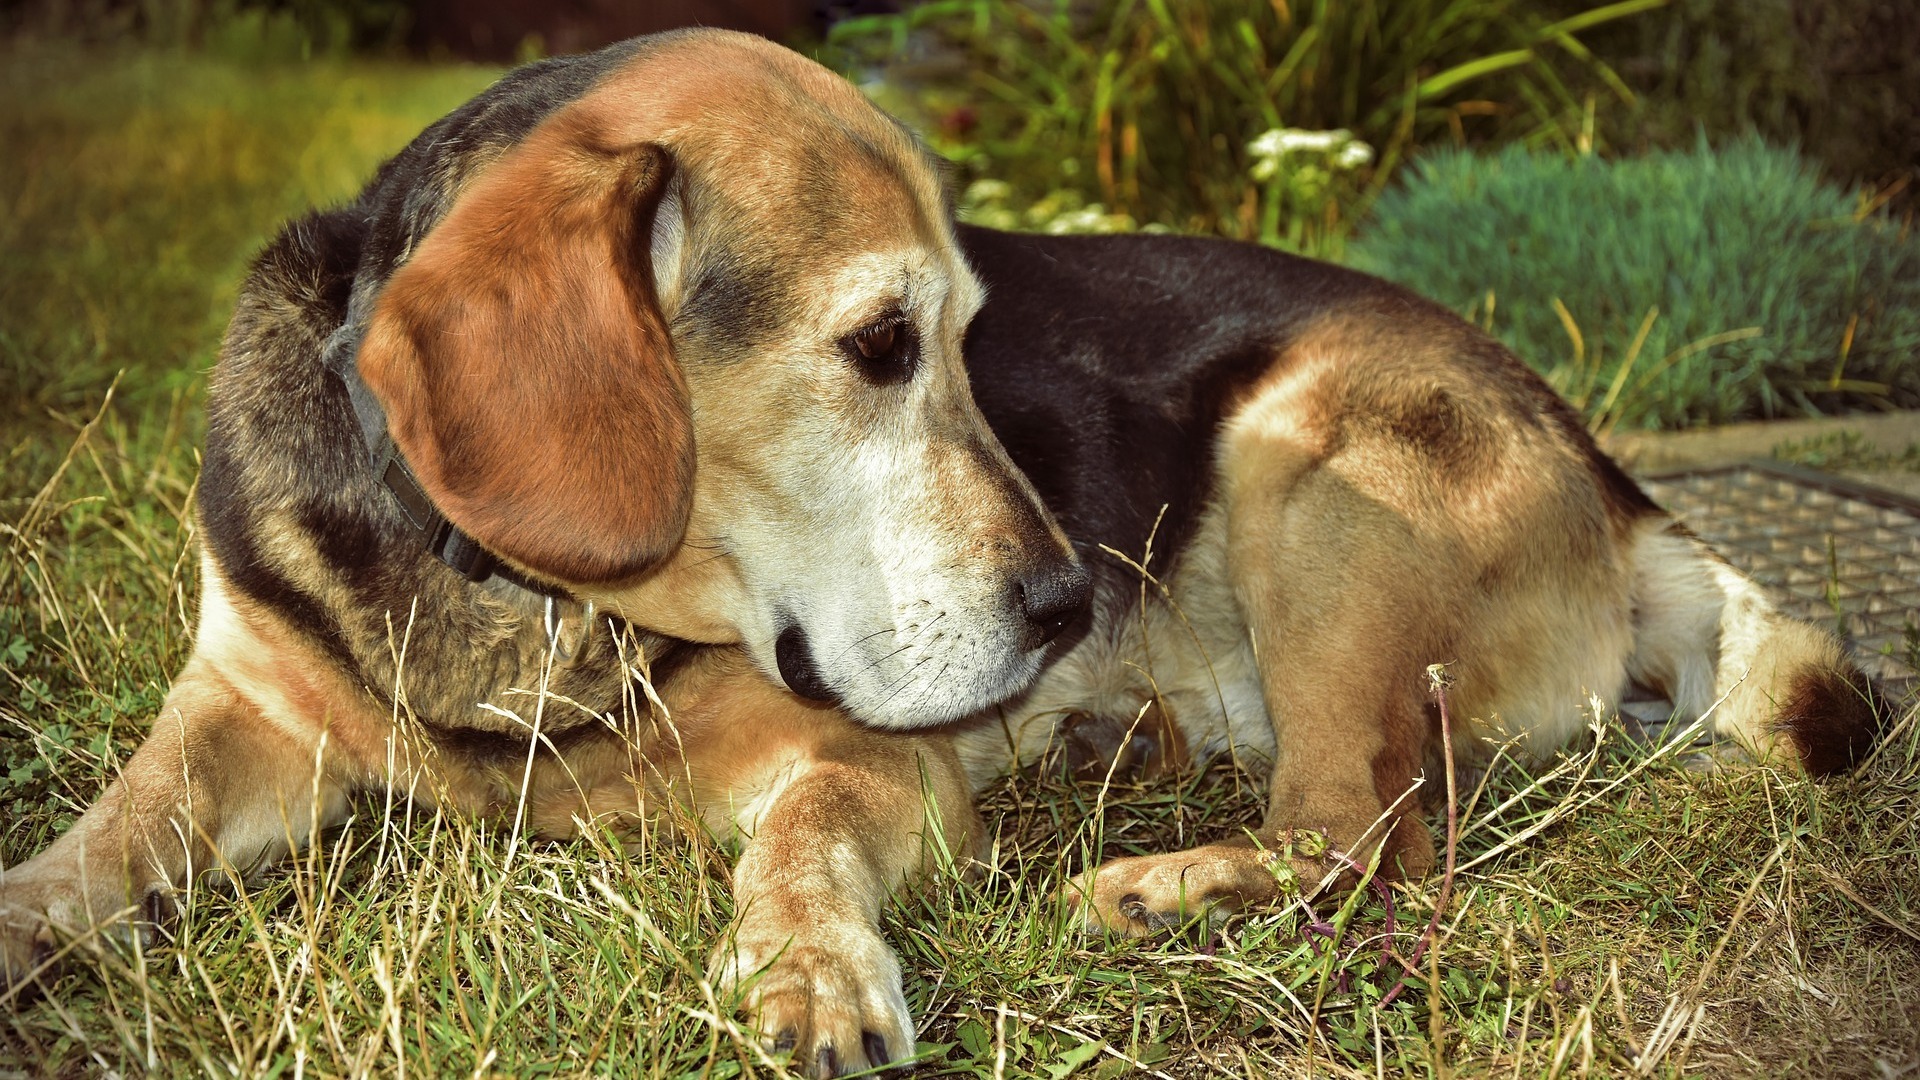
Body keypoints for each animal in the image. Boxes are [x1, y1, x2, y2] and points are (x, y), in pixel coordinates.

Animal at [0, 29, 1881, 1068]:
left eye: (976, 338)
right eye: (881, 346)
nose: (1063, 607)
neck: (527, 600)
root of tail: (1616, 471)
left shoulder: (865, 761)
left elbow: (798, 846)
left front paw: (808, 972)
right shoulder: (238, 711)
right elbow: (99, 848)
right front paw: (28, 922)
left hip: (1315, 469)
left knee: (1373, 844)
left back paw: (1164, 874)